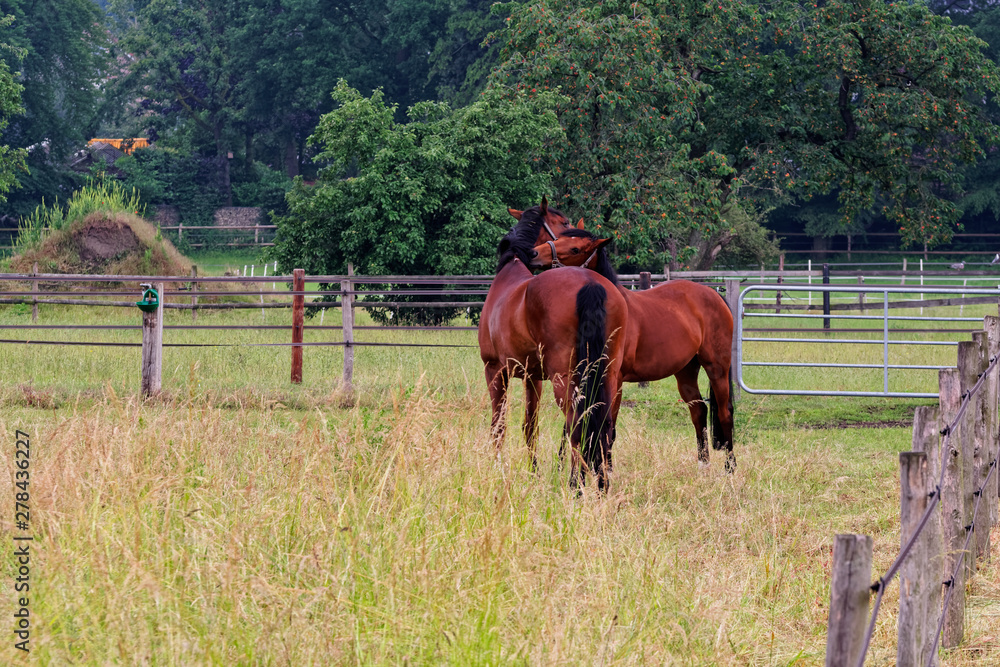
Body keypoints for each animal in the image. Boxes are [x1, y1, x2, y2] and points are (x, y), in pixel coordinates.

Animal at [478, 210, 628, 489]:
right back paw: (600, 485)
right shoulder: (533, 377)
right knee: (602, 427)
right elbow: (530, 427)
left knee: (577, 424)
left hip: (565, 379)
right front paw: (533, 472)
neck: (512, 266)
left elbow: (499, 425)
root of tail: (589, 283)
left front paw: (497, 469)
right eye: (564, 228)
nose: (535, 254)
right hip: (608, 377)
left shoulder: (495, 370)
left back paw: (575, 485)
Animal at [531, 229, 737, 473]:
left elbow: (609, 428)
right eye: (559, 237)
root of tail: (714, 295)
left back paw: (730, 468)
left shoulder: (615, 380)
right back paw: (703, 465)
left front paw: (606, 468)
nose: (534, 253)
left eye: (575, 249)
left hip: (717, 368)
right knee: (699, 412)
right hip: (686, 371)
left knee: (725, 413)